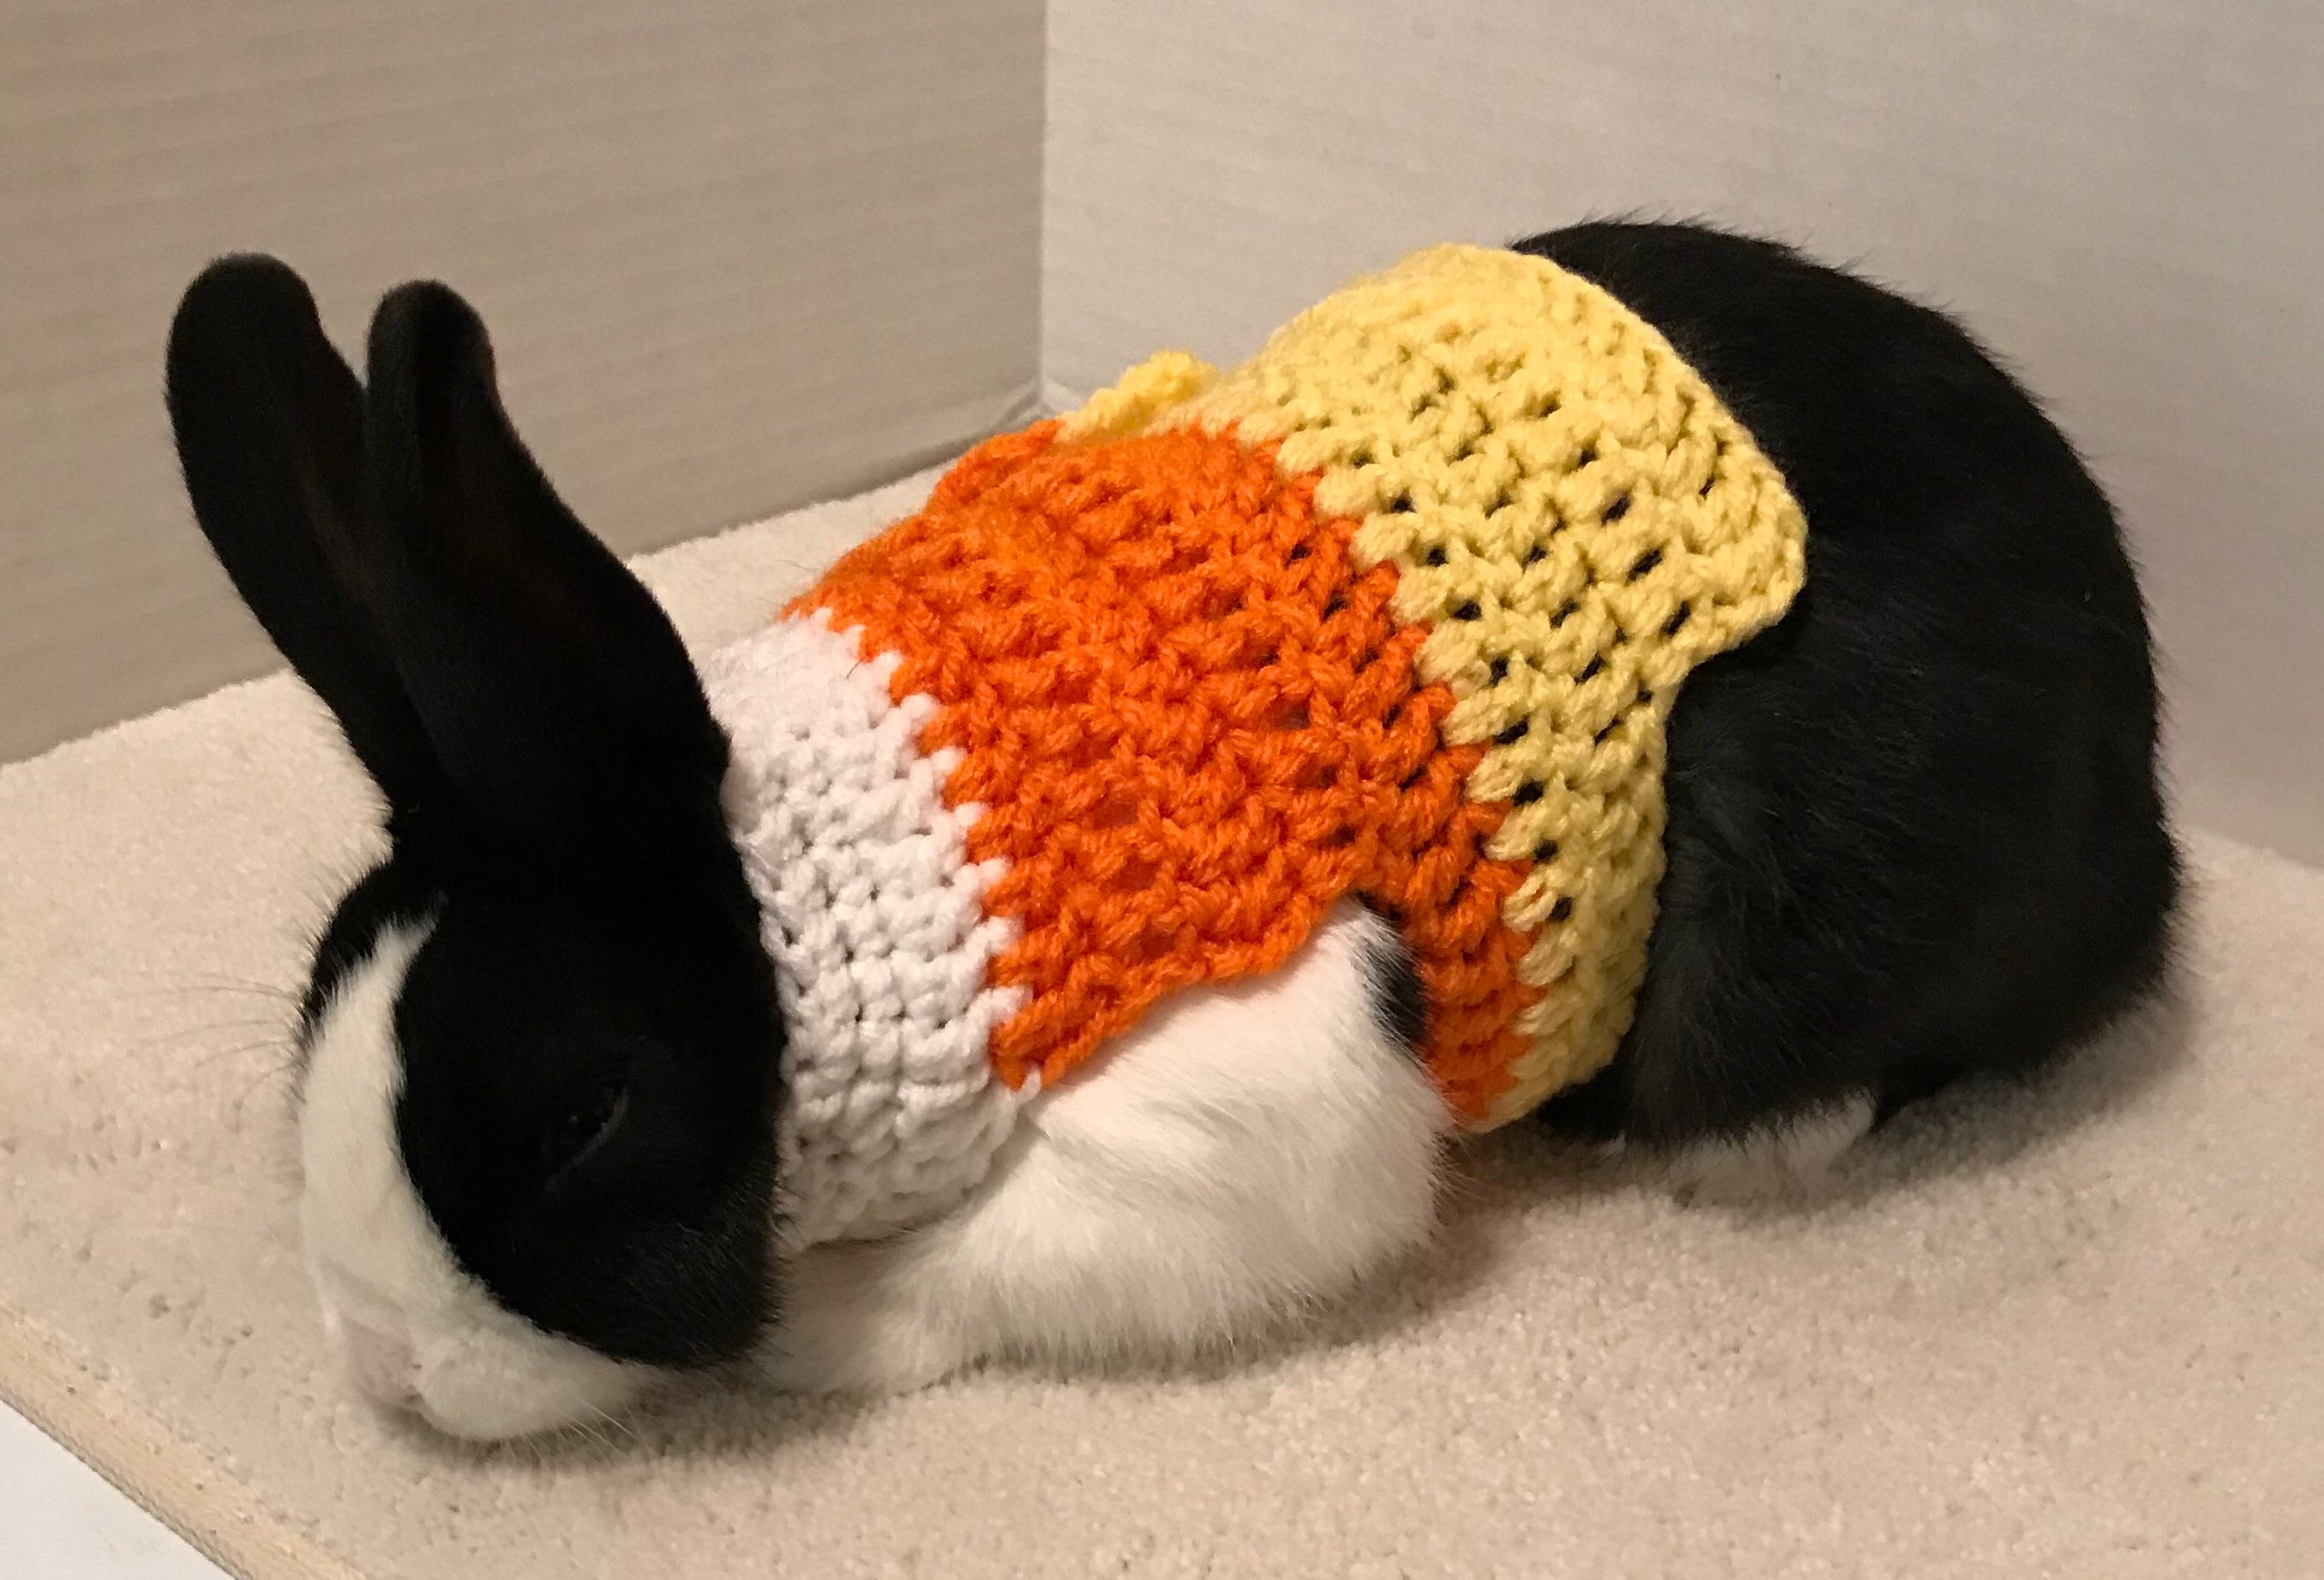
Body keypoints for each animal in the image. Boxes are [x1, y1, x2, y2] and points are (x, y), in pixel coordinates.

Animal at [163, 218, 2175, 1441]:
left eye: (583, 1118)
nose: (383, 1369)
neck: (828, 908)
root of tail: (2147, 814)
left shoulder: (1241, 1102)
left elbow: (1015, 1250)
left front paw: (824, 1328)